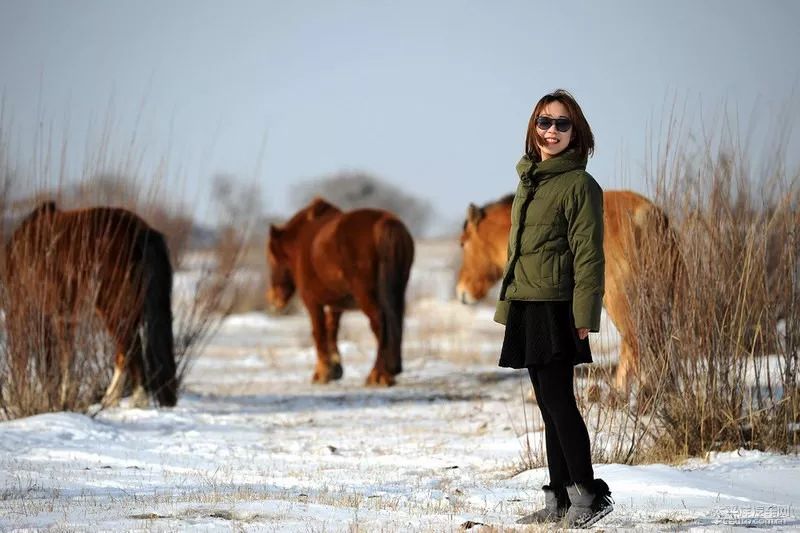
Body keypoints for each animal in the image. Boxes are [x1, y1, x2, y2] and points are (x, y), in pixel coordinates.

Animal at [2, 202, 178, 406]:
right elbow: (64, 358)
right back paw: (112, 400)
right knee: (125, 352)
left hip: (114, 306)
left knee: (129, 351)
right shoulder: (62, 317)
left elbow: (35, 360)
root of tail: (142, 230)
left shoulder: (27, 313)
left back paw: (129, 401)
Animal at [268, 197, 416, 384]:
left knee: (379, 324)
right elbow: (332, 328)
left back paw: (378, 374)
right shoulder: (336, 303)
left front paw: (323, 372)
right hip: (397, 290)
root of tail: (386, 222)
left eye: (272, 258)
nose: (274, 299)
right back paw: (389, 371)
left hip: (366, 295)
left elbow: (319, 331)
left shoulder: (311, 301)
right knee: (395, 322)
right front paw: (335, 368)